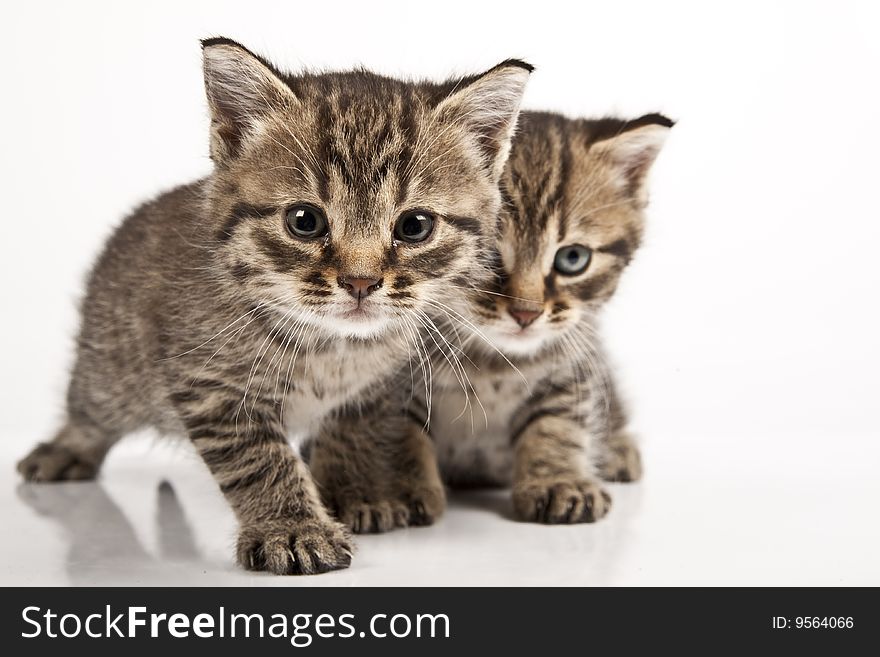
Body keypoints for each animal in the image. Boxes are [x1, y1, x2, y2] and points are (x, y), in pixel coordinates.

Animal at [17, 39, 532, 576]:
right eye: (304, 221)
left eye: (414, 226)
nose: (361, 281)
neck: (332, 346)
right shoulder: (214, 389)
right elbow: (260, 461)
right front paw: (293, 528)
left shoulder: (382, 383)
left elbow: (359, 430)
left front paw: (361, 492)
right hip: (113, 369)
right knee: (89, 407)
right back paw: (63, 449)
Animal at [316, 109, 672, 528]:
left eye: (573, 259)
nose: (526, 313)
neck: (490, 359)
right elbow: (399, 429)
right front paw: (397, 486)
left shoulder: (572, 361)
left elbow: (560, 421)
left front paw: (559, 480)